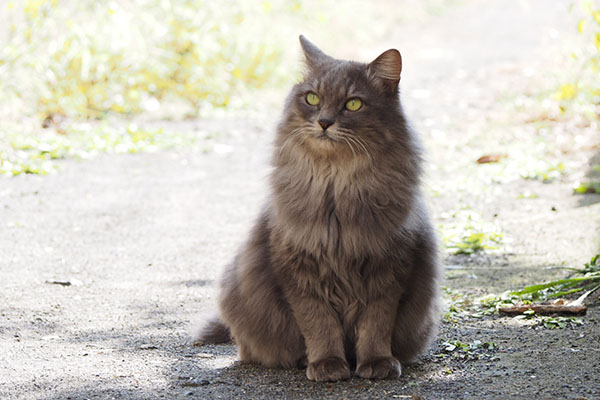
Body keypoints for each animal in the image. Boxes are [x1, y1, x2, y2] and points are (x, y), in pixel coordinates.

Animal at [193, 36, 440, 382]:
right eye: (312, 98)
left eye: (353, 104)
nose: (324, 122)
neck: (335, 186)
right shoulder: (299, 271)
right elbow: (319, 324)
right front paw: (327, 364)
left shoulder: (388, 270)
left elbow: (376, 326)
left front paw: (376, 362)